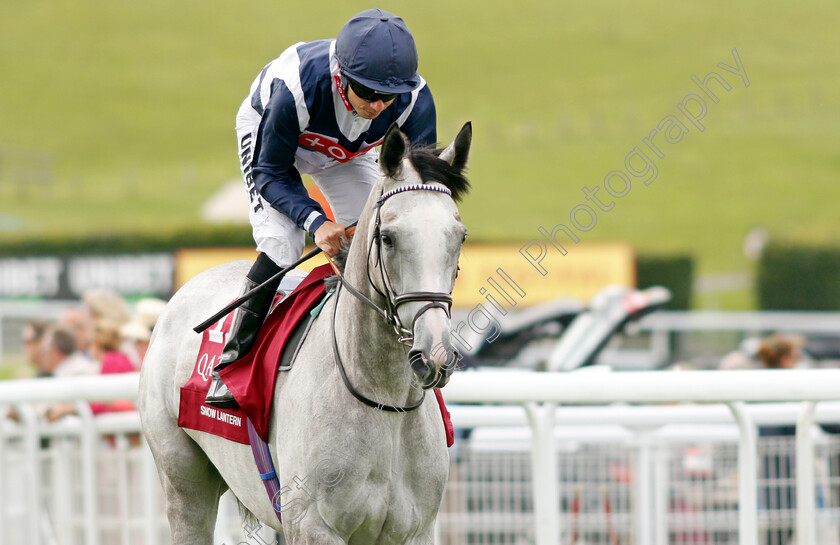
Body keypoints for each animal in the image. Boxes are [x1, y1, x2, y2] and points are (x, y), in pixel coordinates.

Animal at [138, 123, 472, 544]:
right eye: (389, 238)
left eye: (459, 235)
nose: (435, 354)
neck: (384, 400)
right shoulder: (313, 526)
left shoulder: (415, 530)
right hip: (184, 482)